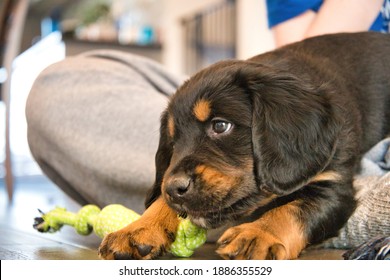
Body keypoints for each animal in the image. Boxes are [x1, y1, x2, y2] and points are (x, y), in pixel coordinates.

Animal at [98, 32, 390, 260]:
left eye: (220, 126)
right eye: (172, 141)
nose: (173, 188)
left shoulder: (333, 185)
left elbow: (293, 209)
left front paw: (258, 234)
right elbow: (161, 199)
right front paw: (137, 229)